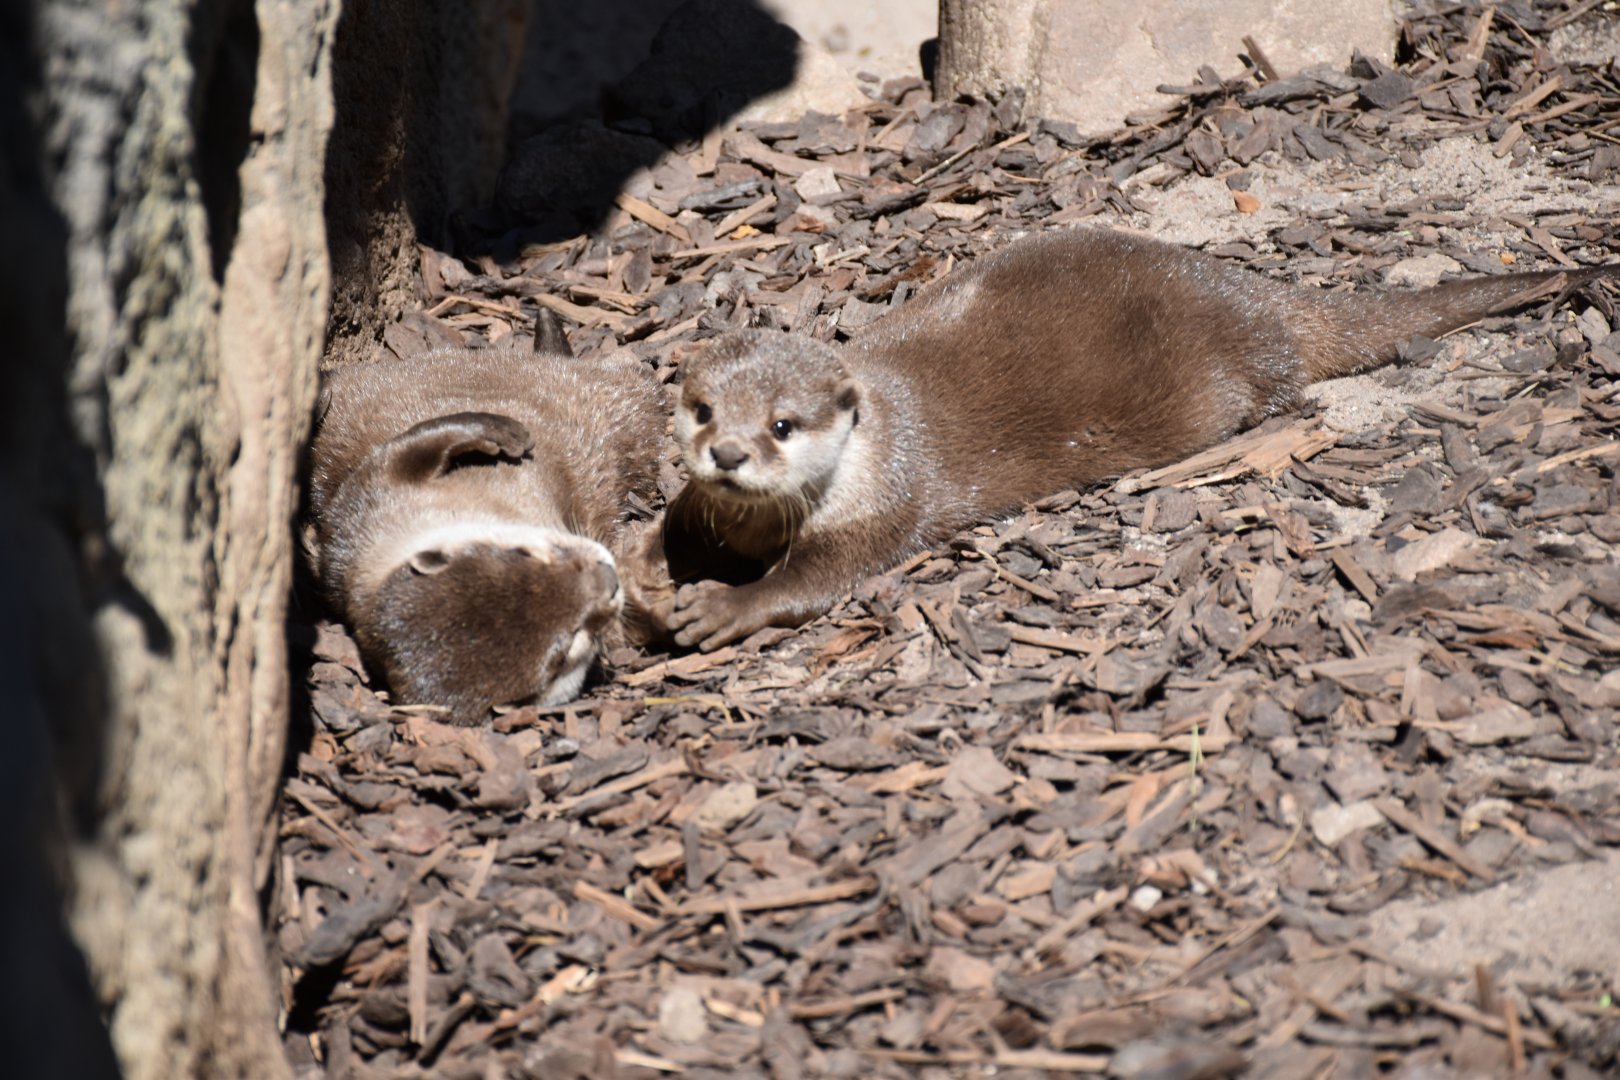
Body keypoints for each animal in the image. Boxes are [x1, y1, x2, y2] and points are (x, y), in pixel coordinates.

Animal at [307, 318, 664, 722]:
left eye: (523, 554)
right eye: (569, 645)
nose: (607, 576)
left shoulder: (367, 503)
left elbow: (410, 448)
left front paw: (498, 429)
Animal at [663, 226, 1614, 650]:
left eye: (783, 425)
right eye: (703, 409)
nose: (729, 453)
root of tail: (1255, 291)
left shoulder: (886, 502)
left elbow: (817, 580)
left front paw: (722, 607)